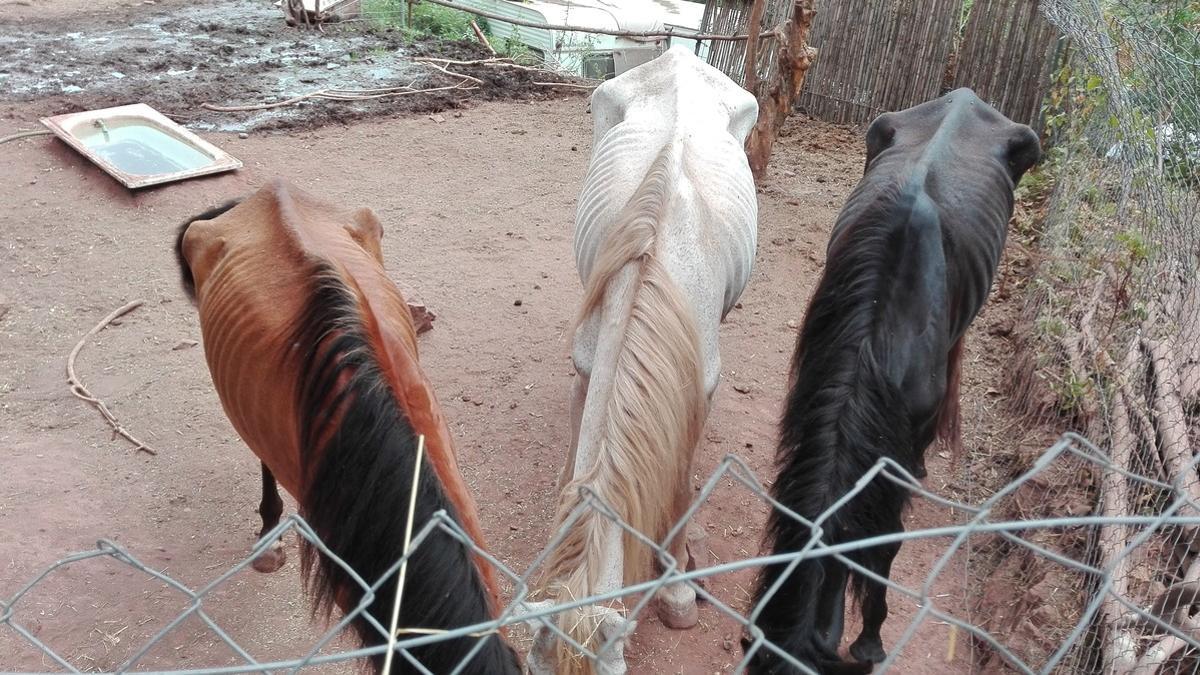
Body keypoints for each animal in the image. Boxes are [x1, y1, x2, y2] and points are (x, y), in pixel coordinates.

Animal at [525, 45, 758, 672]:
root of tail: (677, 54)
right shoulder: (588, 365)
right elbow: (581, 465)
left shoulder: (698, 394)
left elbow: (676, 489)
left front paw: (676, 591)